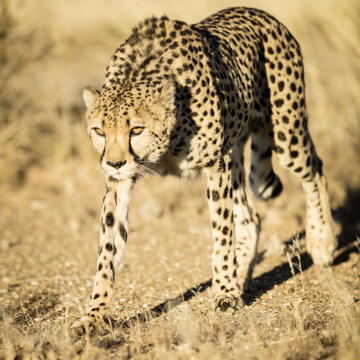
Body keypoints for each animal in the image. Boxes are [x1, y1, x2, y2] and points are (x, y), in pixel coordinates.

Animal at [73, 6, 338, 332]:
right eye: (99, 131)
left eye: (136, 129)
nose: (114, 162)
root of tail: (259, 12)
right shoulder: (119, 183)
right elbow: (107, 249)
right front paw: (95, 315)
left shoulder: (216, 164)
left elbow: (222, 232)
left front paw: (224, 291)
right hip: (237, 152)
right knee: (251, 217)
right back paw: (243, 275)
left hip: (286, 135)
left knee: (316, 171)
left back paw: (322, 243)